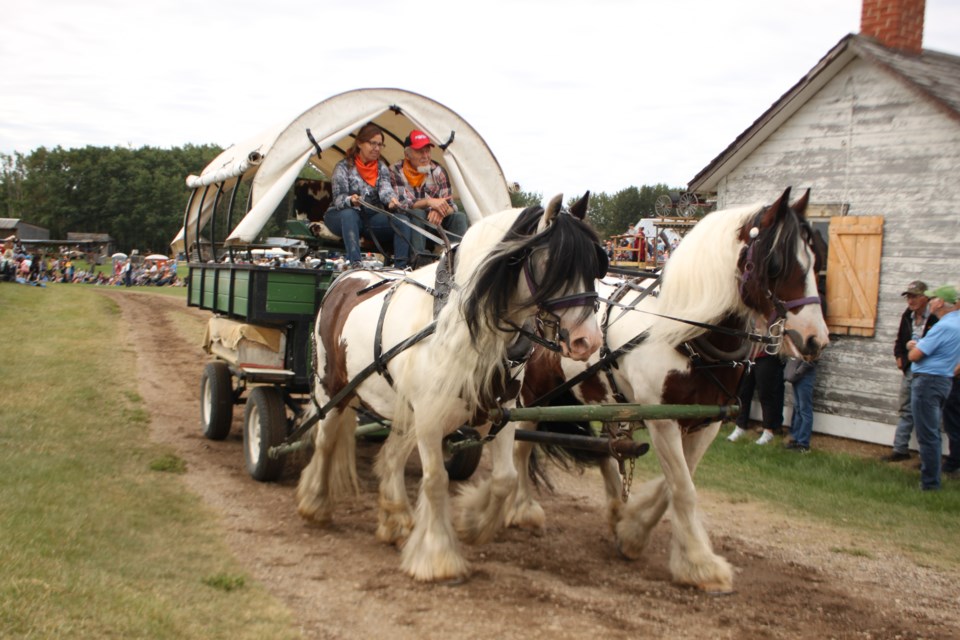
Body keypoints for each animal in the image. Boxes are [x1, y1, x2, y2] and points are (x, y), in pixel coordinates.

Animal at [294, 192, 608, 584]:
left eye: (595, 266)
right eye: (552, 264)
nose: (588, 341)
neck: (456, 322)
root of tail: (347, 274)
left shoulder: (499, 412)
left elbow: (504, 478)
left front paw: (472, 524)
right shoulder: (430, 418)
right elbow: (436, 480)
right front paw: (438, 556)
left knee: (392, 455)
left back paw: (396, 519)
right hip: (332, 387)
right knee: (325, 440)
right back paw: (315, 504)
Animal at [488, 188, 832, 592]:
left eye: (817, 260)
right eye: (776, 264)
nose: (815, 339)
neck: (688, 335)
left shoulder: (708, 421)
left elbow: (676, 484)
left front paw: (633, 529)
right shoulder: (663, 419)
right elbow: (682, 488)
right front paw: (700, 564)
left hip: (596, 398)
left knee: (603, 450)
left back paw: (615, 508)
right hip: (531, 395)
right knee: (523, 446)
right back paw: (523, 508)